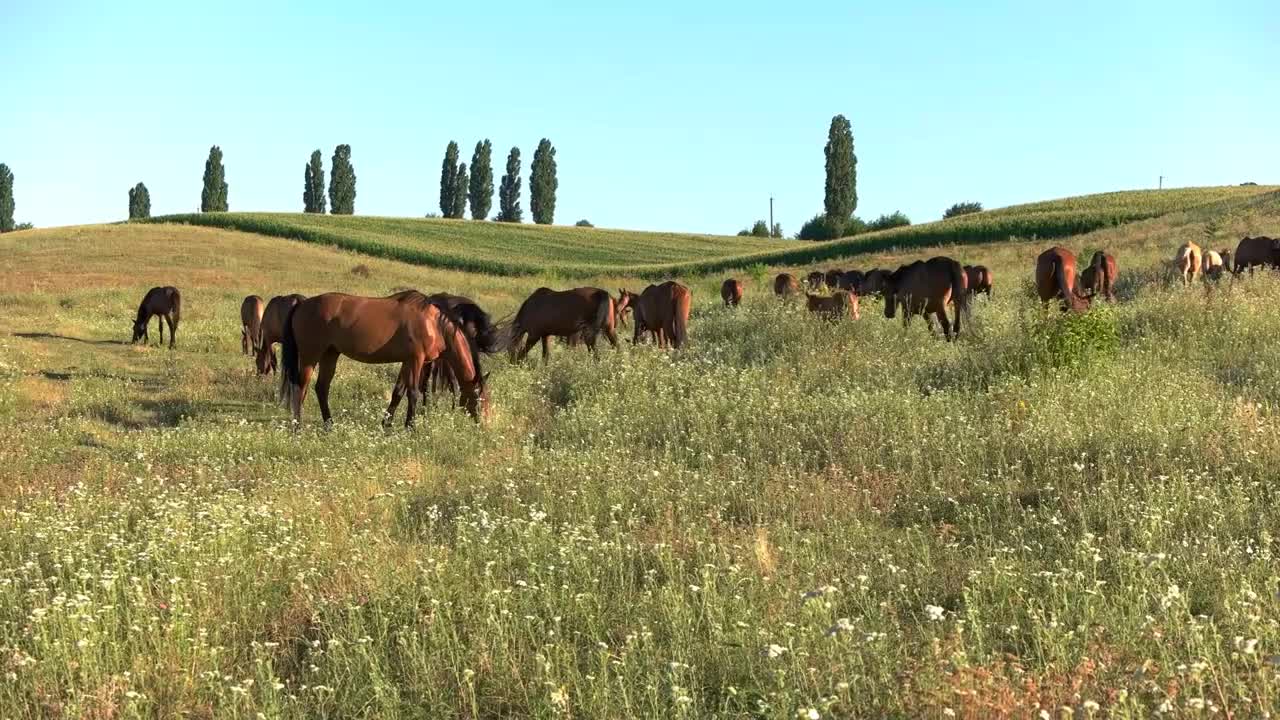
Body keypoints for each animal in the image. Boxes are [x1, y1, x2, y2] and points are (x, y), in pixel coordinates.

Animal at [282, 288, 486, 425]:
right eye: (480, 398)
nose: (483, 423)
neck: (434, 325)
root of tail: (302, 304)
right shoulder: (416, 360)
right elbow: (413, 393)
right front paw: (410, 427)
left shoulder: (407, 362)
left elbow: (398, 393)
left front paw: (386, 424)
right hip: (310, 356)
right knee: (300, 387)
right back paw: (297, 427)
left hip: (330, 354)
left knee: (321, 388)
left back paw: (329, 425)